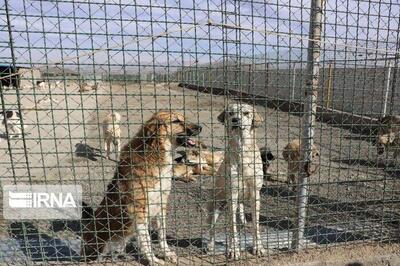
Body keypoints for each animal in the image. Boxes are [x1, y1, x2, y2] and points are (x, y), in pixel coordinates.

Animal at [81, 110, 202, 264]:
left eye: (185, 118)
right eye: (176, 121)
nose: (200, 127)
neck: (156, 154)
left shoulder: (161, 203)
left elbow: (161, 234)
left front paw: (166, 253)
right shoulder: (139, 209)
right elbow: (146, 240)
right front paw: (153, 260)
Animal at [208, 103, 268, 258]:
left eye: (246, 113)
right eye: (230, 113)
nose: (235, 120)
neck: (243, 151)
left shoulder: (255, 194)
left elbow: (256, 225)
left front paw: (258, 247)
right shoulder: (233, 194)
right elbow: (231, 226)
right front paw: (234, 250)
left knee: (241, 223)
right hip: (215, 207)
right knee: (211, 227)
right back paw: (210, 246)